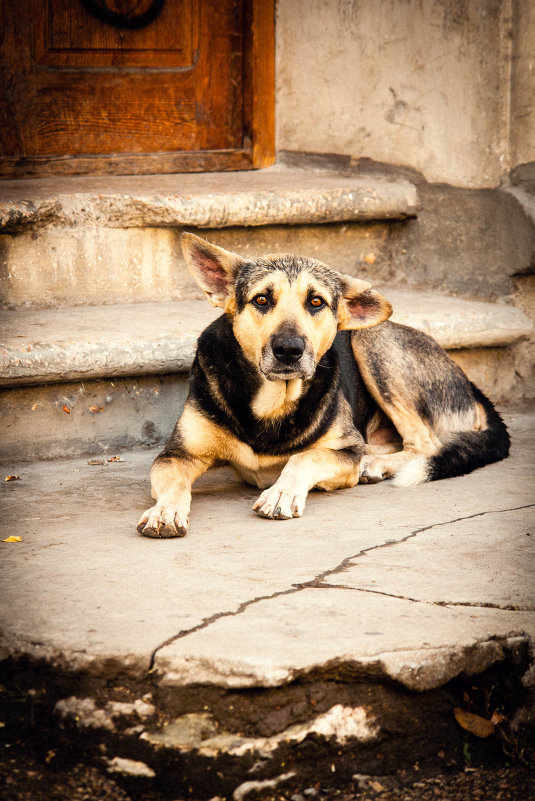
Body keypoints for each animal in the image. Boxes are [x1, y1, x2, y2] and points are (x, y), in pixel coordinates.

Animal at [136, 233, 508, 536]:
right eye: (261, 300)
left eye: (316, 302)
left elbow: (306, 457)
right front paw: (165, 511)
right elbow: (174, 482)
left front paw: (282, 493)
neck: (273, 401)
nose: (289, 349)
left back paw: (374, 464)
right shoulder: (177, 455)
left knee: (425, 443)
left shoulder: (342, 452)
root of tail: (472, 385)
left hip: (371, 340)